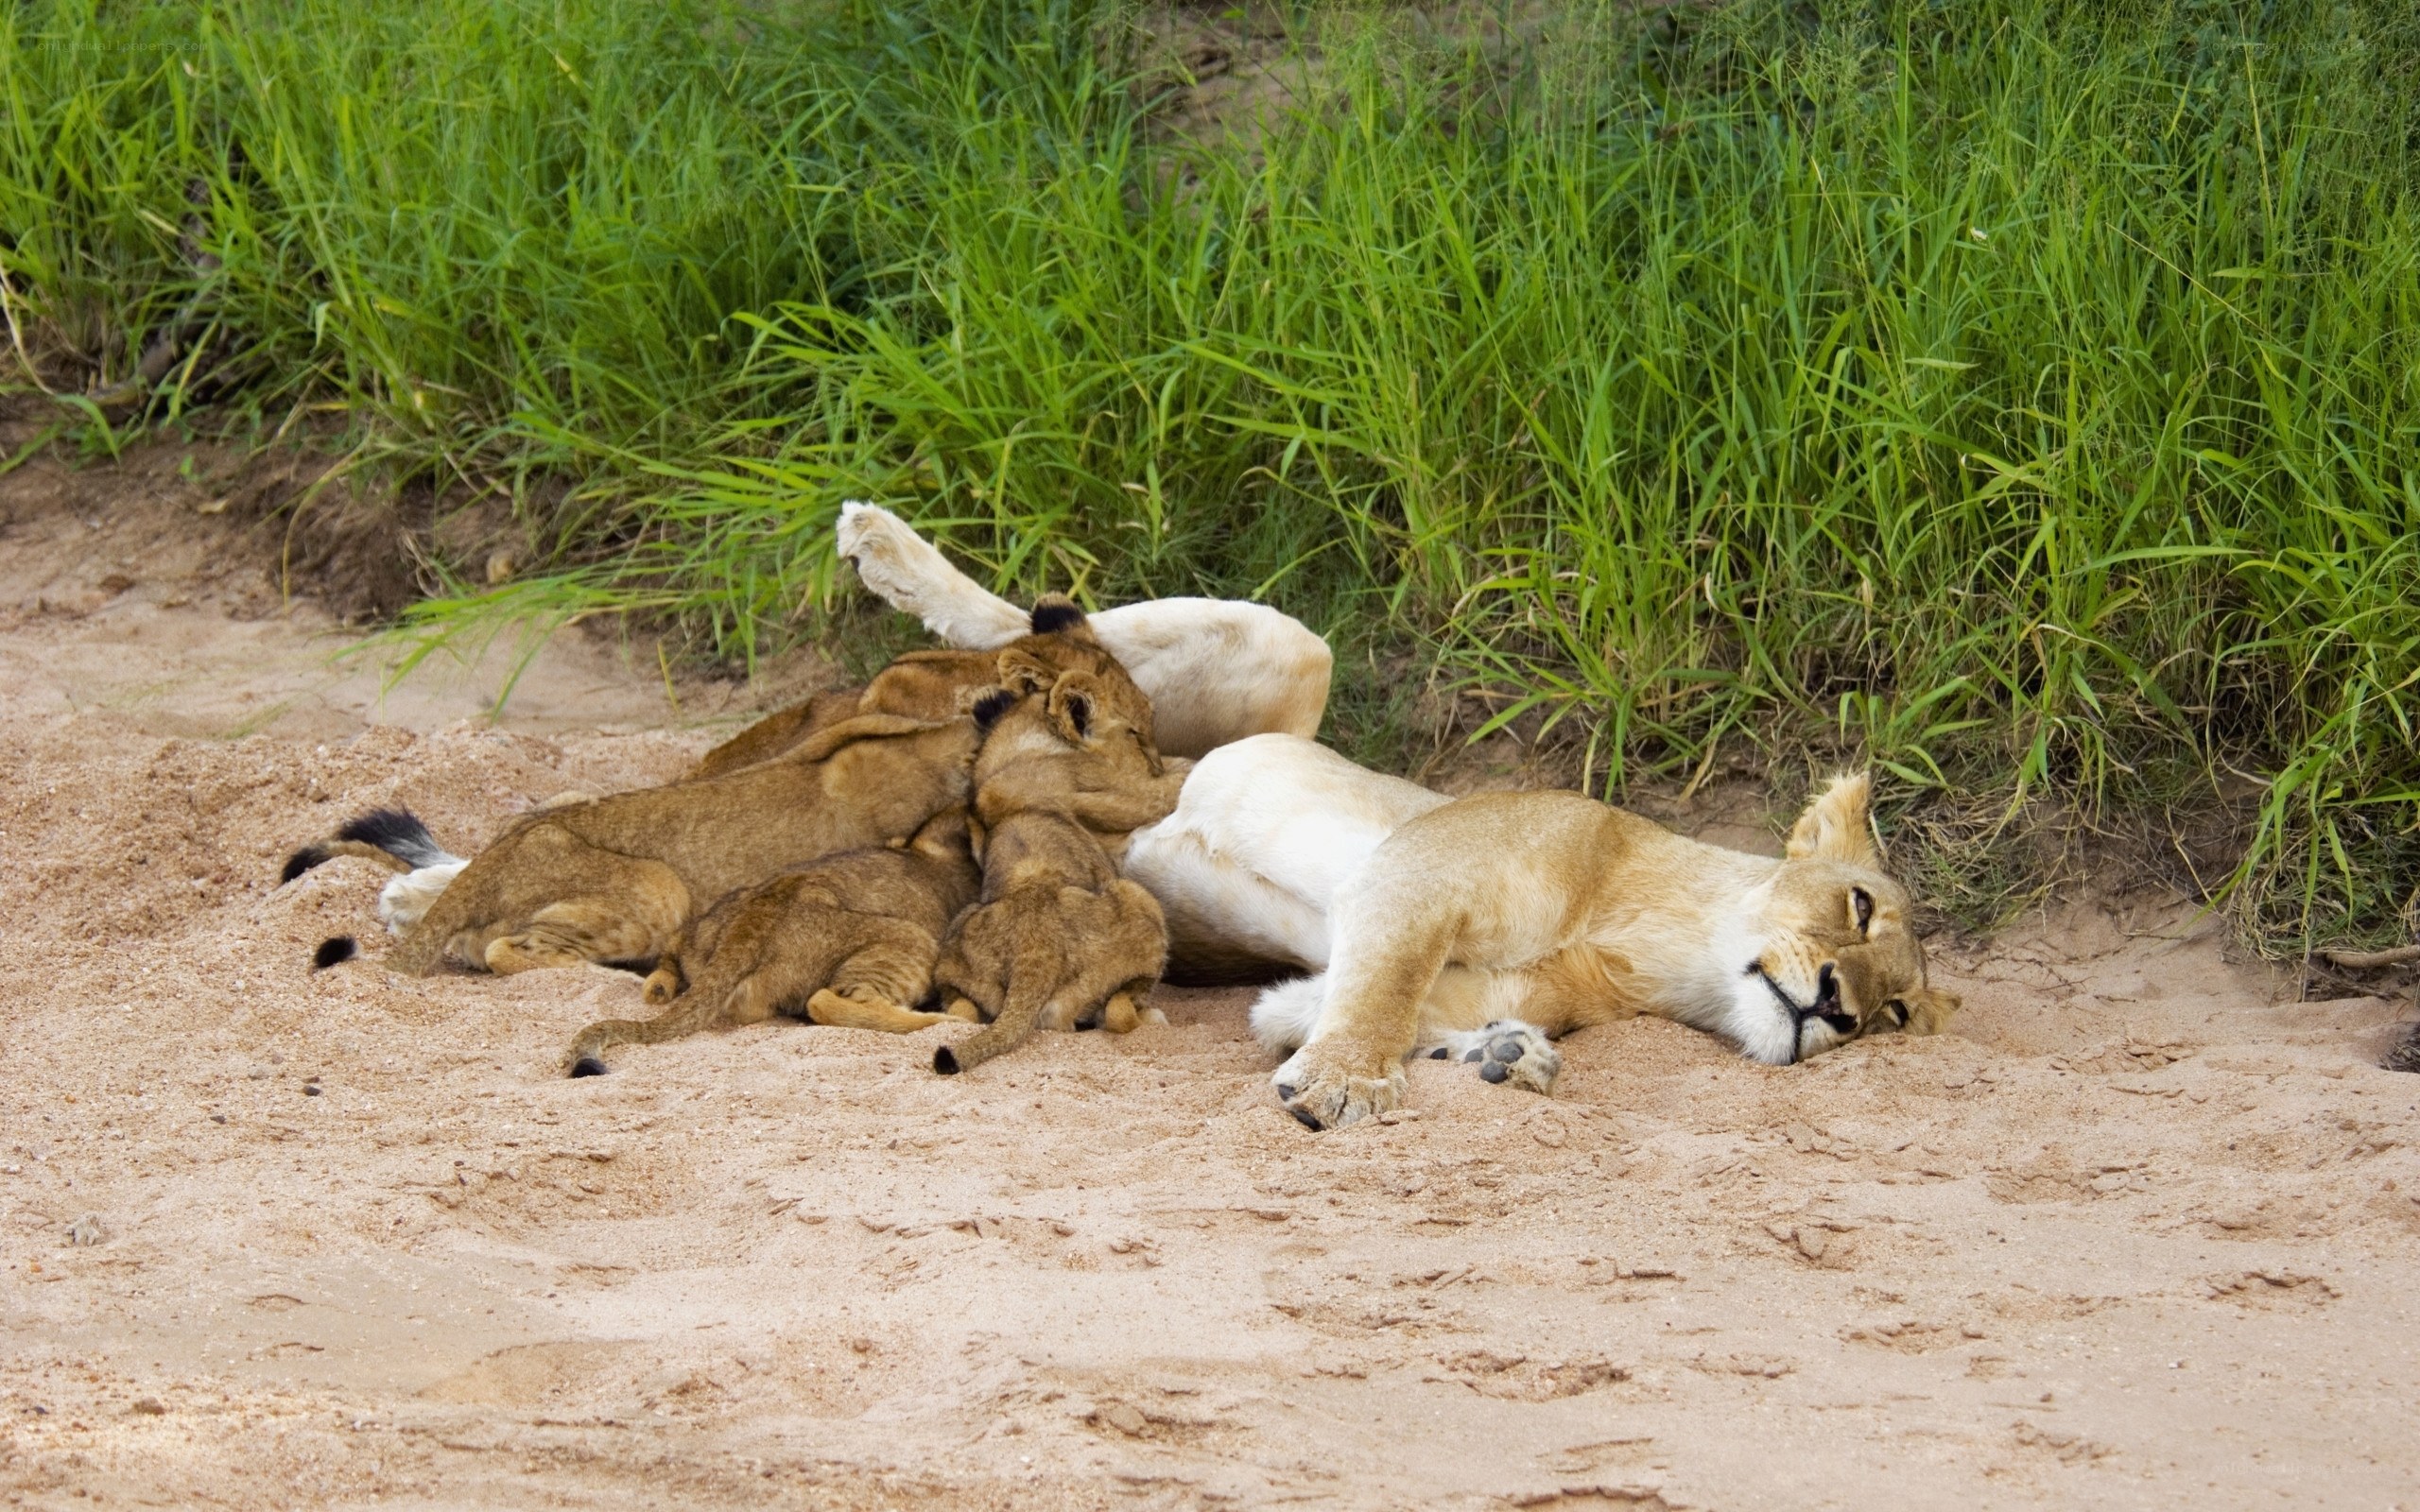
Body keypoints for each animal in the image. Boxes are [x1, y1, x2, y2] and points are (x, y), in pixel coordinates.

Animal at [560, 805, 985, 1076]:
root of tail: (751, 921)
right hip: (909, 938)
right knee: (827, 1001)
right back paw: (953, 1016)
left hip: (707, 927)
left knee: (672, 951)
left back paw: (660, 985)